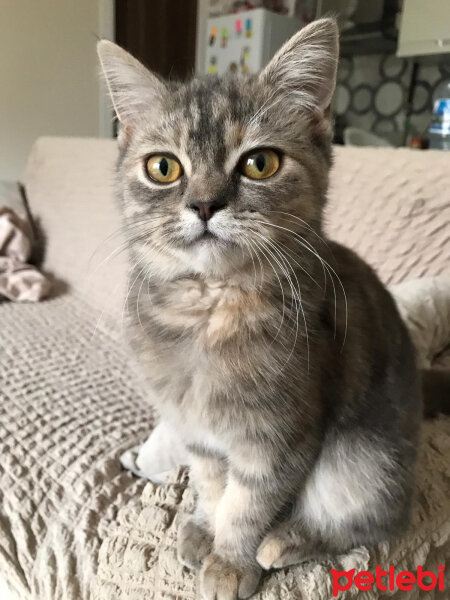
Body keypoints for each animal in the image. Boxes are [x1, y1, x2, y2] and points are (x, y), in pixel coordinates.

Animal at [97, 19, 422, 600]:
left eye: (259, 163)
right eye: (163, 167)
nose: (204, 204)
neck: (210, 310)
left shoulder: (280, 436)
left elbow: (247, 503)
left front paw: (230, 562)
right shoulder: (198, 432)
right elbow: (212, 484)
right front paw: (204, 527)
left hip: (359, 462)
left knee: (369, 524)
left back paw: (286, 541)